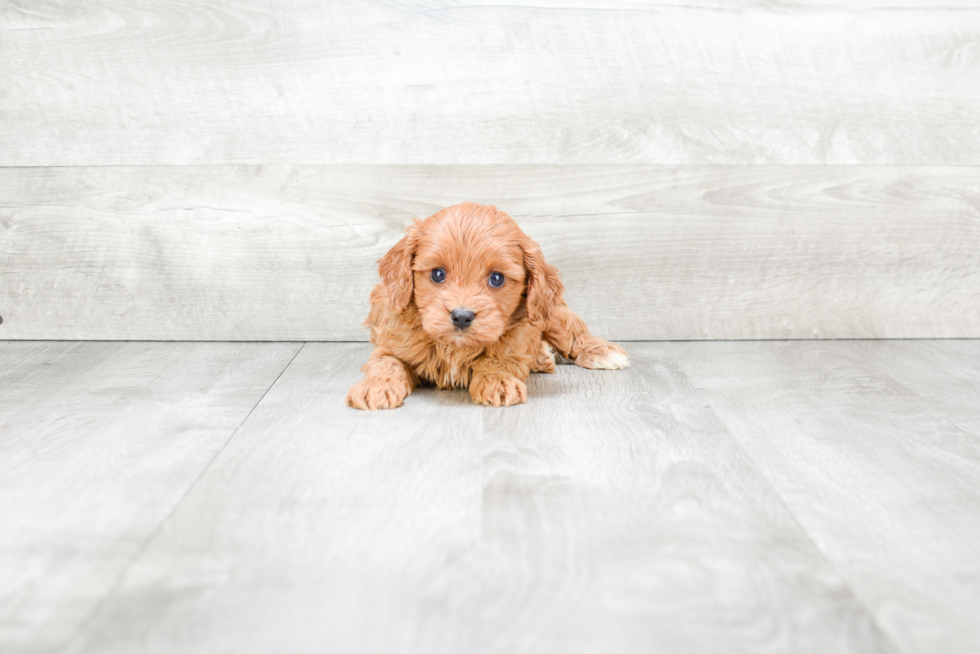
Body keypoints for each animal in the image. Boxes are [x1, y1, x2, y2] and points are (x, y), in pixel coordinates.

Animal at [348, 202, 632, 412]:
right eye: (438, 274)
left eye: (497, 278)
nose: (461, 316)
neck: (455, 347)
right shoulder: (391, 342)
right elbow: (387, 364)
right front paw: (376, 387)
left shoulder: (516, 337)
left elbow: (499, 359)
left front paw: (498, 381)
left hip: (547, 311)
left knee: (573, 332)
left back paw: (600, 352)